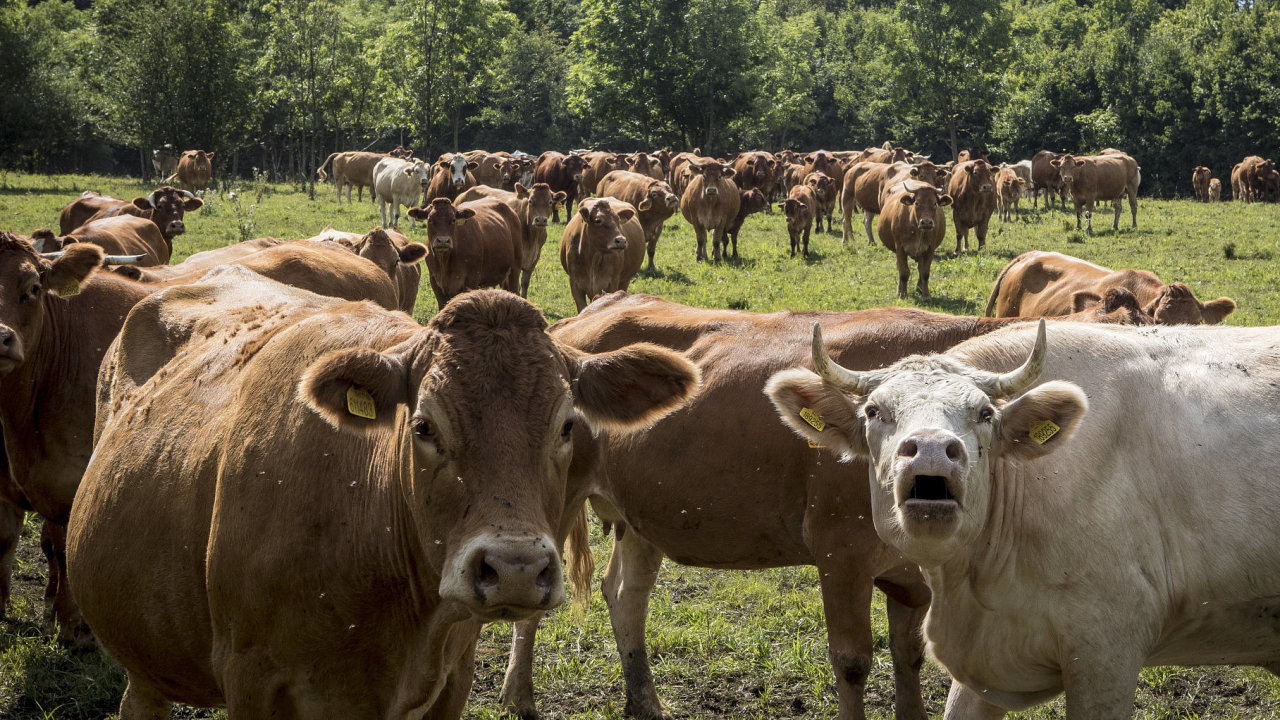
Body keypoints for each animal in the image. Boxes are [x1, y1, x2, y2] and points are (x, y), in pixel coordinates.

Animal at [67, 275, 701, 717]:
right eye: (423, 426)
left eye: (568, 425)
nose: (516, 569)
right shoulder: (252, 679)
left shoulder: (451, 680)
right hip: (145, 657)